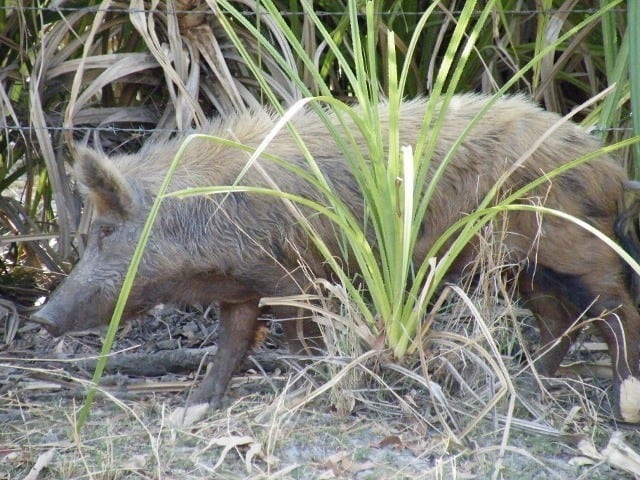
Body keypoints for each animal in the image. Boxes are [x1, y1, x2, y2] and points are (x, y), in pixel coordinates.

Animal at [32, 94, 640, 422]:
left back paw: (619, 401)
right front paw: (191, 407)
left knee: (615, 311)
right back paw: (526, 384)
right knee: (561, 321)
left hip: (575, 245)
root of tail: (610, 169)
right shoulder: (245, 284)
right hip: (525, 267)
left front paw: (305, 389)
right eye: (91, 232)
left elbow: (298, 336)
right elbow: (232, 342)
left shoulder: (297, 272)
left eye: (106, 230)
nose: (42, 318)